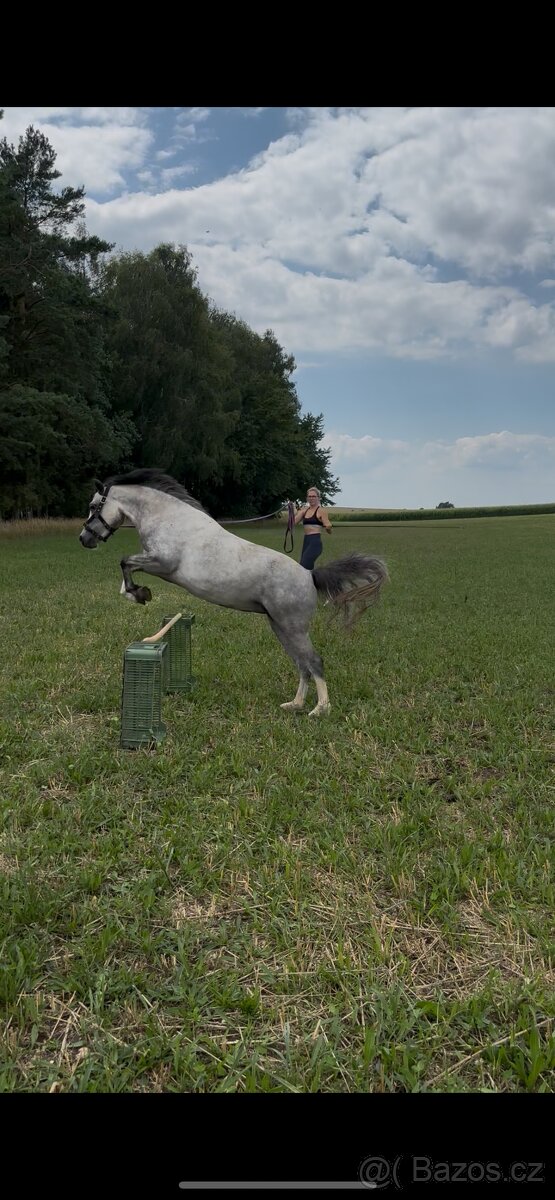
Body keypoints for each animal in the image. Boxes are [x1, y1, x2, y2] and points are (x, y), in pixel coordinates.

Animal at [79, 469, 388, 716]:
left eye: (93, 505)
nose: (84, 539)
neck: (170, 519)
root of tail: (309, 575)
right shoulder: (154, 562)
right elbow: (125, 573)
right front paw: (138, 593)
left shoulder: (163, 563)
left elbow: (125, 562)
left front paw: (139, 593)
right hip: (280, 627)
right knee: (302, 665)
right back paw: (295, 705)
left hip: (293, 627)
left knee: (313, 662)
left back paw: (320, 710)